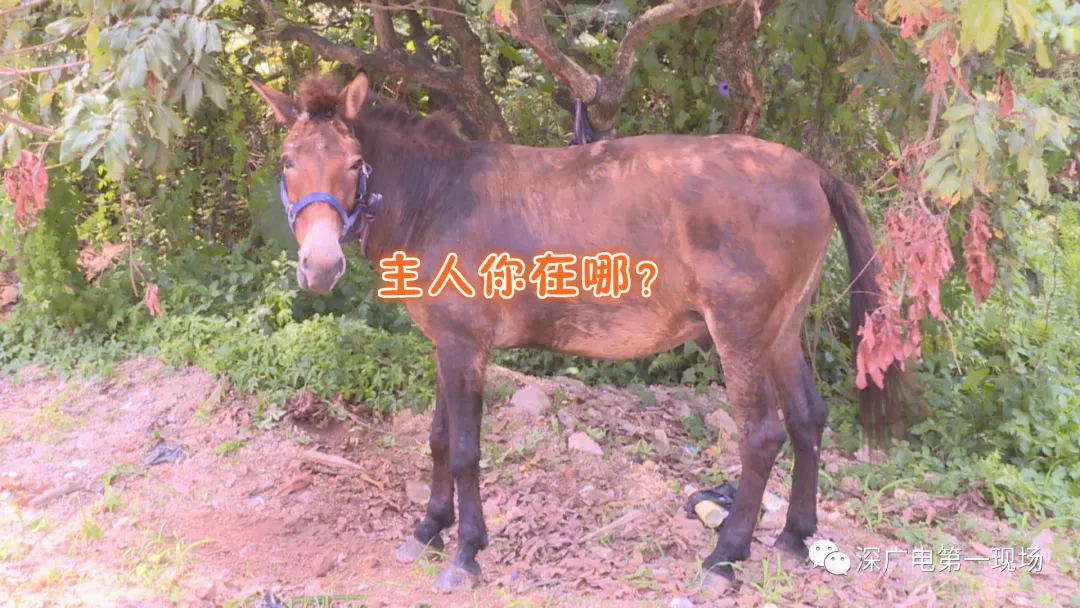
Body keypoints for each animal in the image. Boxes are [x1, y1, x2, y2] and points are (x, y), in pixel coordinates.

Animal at [248, 70, 908, 592]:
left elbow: (464, 449)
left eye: (355, 164)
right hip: (782, 330)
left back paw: (725, 556)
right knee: (807, 419)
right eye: (287, 162)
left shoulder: (466, 348)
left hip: (741, 334)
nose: (320, 267)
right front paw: (429, 527)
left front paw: (466, 552)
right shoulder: (446, 345)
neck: (436, 200)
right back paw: (794, 537)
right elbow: (437, 439)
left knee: (762, 435)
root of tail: (808, 169)